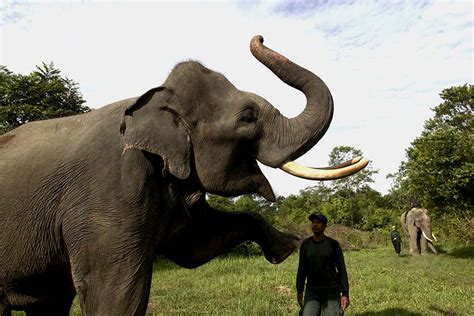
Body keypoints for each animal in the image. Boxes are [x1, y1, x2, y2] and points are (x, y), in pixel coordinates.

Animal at [0, 35, 368, 314]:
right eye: (248, 118)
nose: (260, 37)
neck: (151, 100)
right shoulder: (108, 190)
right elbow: (113, 289)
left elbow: (193, 247)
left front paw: (286, 247)